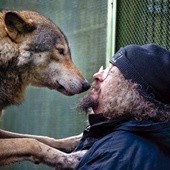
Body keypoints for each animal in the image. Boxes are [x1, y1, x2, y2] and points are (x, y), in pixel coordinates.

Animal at [0, 10, 90, 169]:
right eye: (61, 51)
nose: (87, 85)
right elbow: (31, 142)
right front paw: (73, 159)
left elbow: (43, 138)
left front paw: (75, 141)